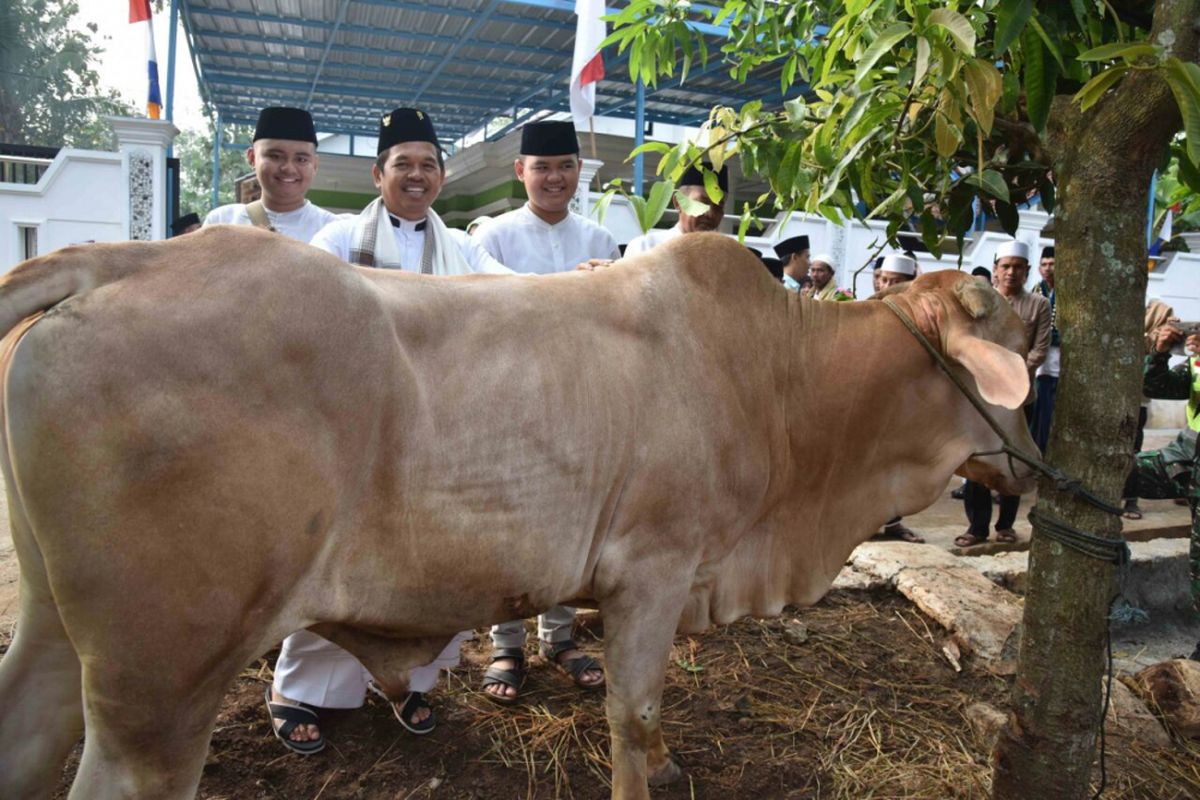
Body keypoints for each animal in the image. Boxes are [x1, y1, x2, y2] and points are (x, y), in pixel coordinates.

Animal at [0, 227, 1036, 796]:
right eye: (1017, 344)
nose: (1029, 468)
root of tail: (123, 260)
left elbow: (650, 711)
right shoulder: (654, 570)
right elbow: (633, 710)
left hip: (59, 629)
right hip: (163, 685)